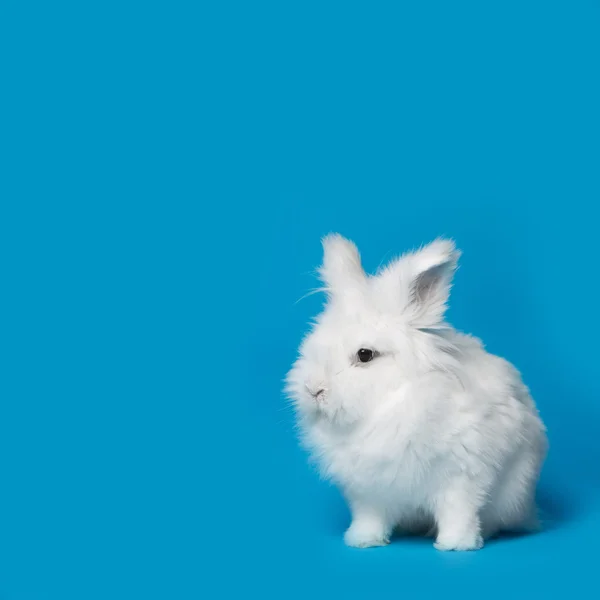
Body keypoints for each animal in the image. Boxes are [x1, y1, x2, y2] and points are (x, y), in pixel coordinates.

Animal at [286, 232, 548, 552]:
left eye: (365, 355)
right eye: (312, 345)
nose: (313, 390)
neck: (391, 404)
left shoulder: (461, 478)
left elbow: (458, 513)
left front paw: (456, 545)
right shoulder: (368, 492)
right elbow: (370, 517)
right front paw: (363, 540)